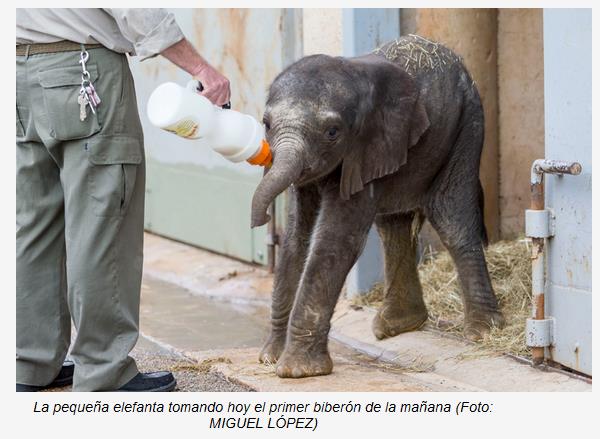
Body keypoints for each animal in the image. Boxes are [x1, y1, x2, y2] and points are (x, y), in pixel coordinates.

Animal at [251, 35, 504, 378]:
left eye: (332, 132)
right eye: (266, 124)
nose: (261, 219)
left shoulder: (365, 147)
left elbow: (336, 241)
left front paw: (298, 371)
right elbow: (296, 238)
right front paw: (270, 358)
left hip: (467, 123)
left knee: (452, 219)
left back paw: (482, 332)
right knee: (392, 224)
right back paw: (398, 325)